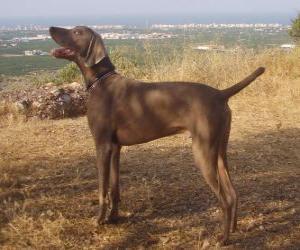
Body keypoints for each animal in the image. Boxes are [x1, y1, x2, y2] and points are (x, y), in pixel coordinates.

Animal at [49, 26, 264, 245]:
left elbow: (102, 189)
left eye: (77, 32)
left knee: (226, 198)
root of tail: (221, 94)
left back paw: (223, 238)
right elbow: (115, 188)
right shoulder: (115, 148)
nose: (51, 28)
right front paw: (113, 217)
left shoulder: (102, 145)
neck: (101, 81)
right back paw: (234, 228)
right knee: (233, 192)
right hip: (219, 150)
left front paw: (99, 220)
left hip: (202, 151)